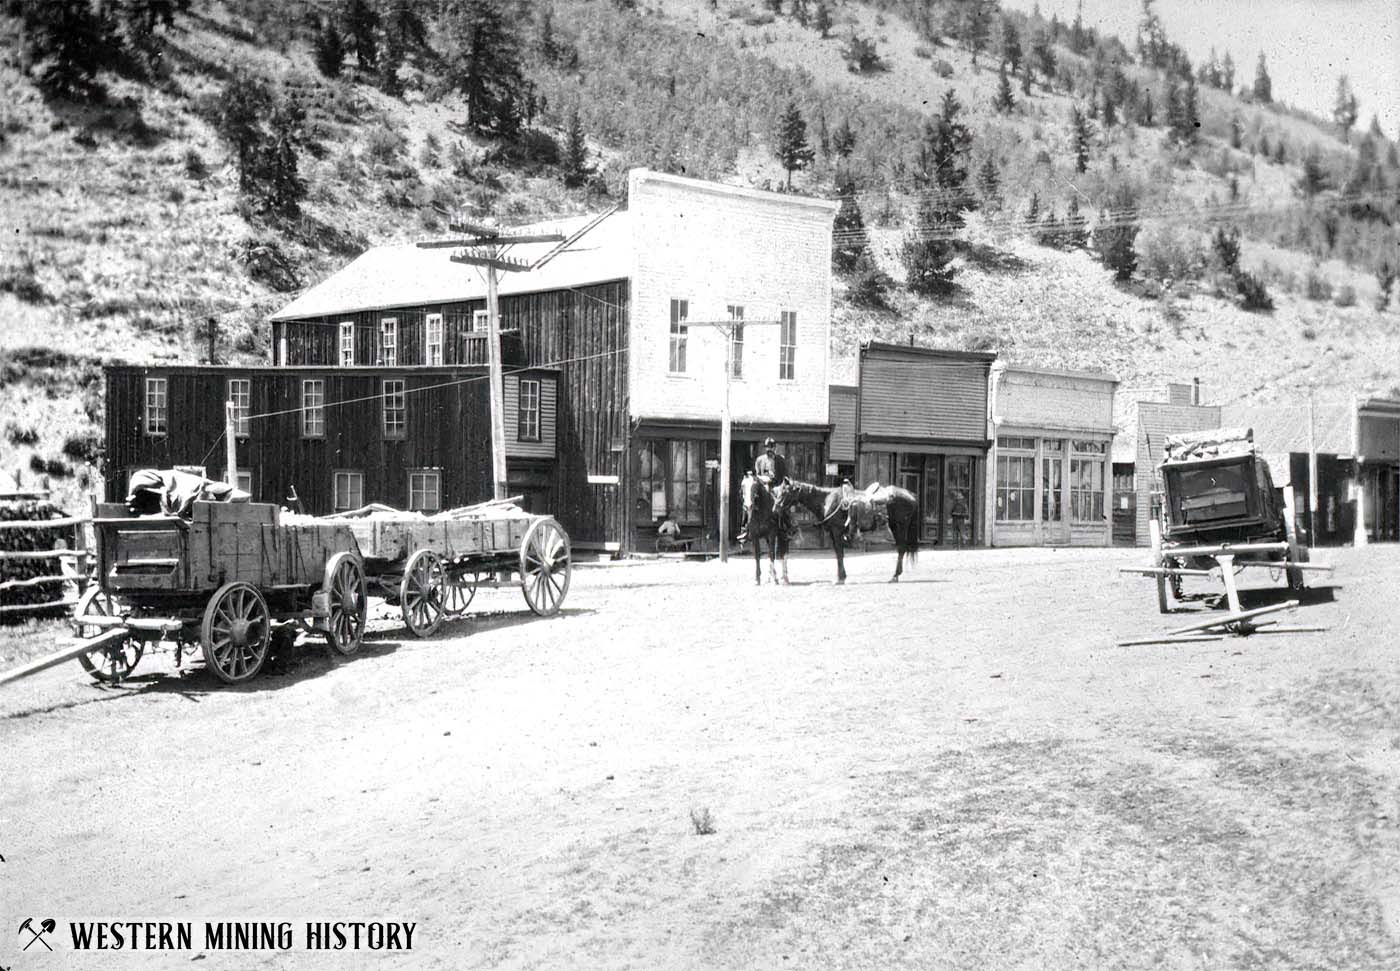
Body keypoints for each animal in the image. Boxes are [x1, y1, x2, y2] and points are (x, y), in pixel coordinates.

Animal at [772, 481, 924, 584]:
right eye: (779, 491)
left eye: (785, 491)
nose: (775, 508)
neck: (826, 500)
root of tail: (911, 495)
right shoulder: (833, 533)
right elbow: (838, 553)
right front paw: (841, 577)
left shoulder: (836, 531)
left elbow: (840, 553)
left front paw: (840, 578)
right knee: (901, 548)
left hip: (900, 526)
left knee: (901, 548)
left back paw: (894, 576)